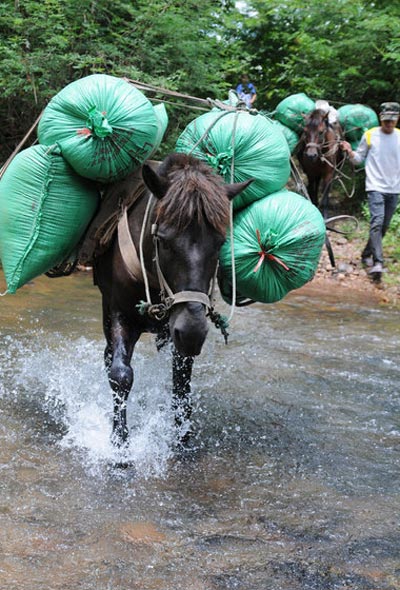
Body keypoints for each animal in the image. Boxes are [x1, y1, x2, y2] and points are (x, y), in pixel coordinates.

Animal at [93, 153, 250, 448]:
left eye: (220, 244)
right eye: (163, 240)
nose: (191, 332)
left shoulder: (179, 330)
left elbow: (181, 384)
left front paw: (182, 437)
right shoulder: (120, 313)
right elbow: (120, 374)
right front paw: (120, 443)